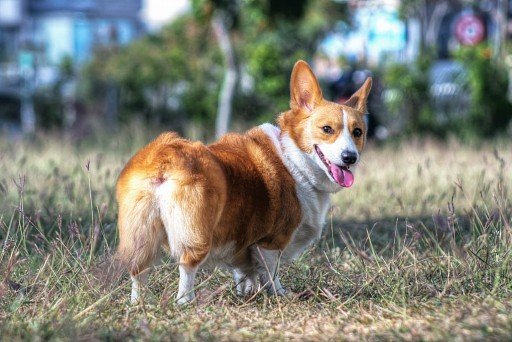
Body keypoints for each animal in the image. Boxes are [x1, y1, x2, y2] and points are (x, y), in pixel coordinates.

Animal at [116, 60, 372, 304]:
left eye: (357, 132)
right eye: (327, 129)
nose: (350, 157)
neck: (295, 158)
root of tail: (163, 158)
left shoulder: (242, 244)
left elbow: (244, 273)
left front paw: (245, 294)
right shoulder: (270, 242)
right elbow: (271, 273)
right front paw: (280, 295)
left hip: (140, 234)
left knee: (138, 271)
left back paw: (139, 303)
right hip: (196, 234)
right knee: (187, 268)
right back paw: (186, 302)